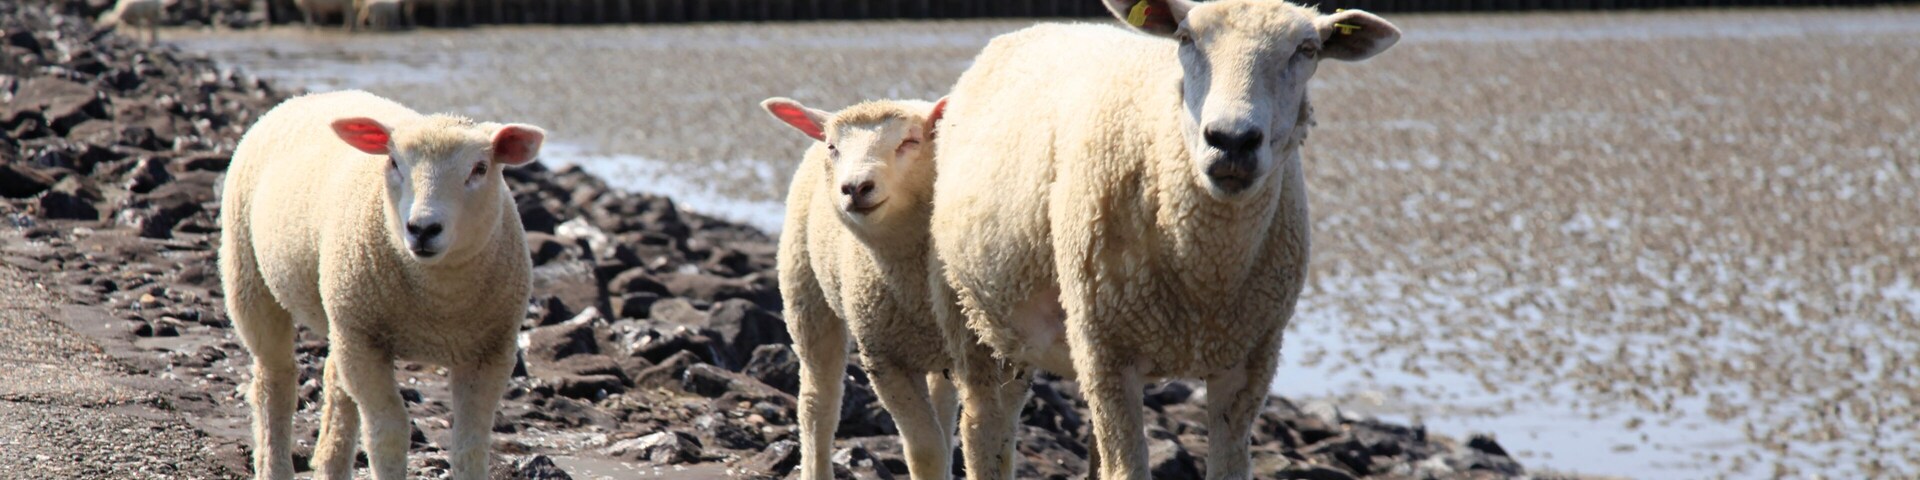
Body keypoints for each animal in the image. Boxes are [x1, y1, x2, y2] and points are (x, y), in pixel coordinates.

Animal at [219, 90, 545, 480]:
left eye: (480, 168)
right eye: (393, 162)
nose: (422, 229)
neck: (440, 301)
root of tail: (311, 95)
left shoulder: (492, 351)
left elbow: (472, 443)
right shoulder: (365, 341)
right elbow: (388, 431)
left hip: (340, 314)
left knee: (335, 383)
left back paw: (330, 464)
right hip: (248, 273)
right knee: (275, 380)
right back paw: (275, 465)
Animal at [761, 96, 971, 480]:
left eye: (910, 141)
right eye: (833, 147)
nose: (855, 187)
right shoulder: (883, 358)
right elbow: (925, 449)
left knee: (944, 409)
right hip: (805, 289)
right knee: (818, 402)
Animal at [926, 1, 1400, 479]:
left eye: (1307, 49)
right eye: (1186, 39)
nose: (1232, 141)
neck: (1207, 277)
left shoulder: (1250, 359)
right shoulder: (1107, 351)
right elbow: (1128, 469)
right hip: (970, 315)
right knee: (984, 428)